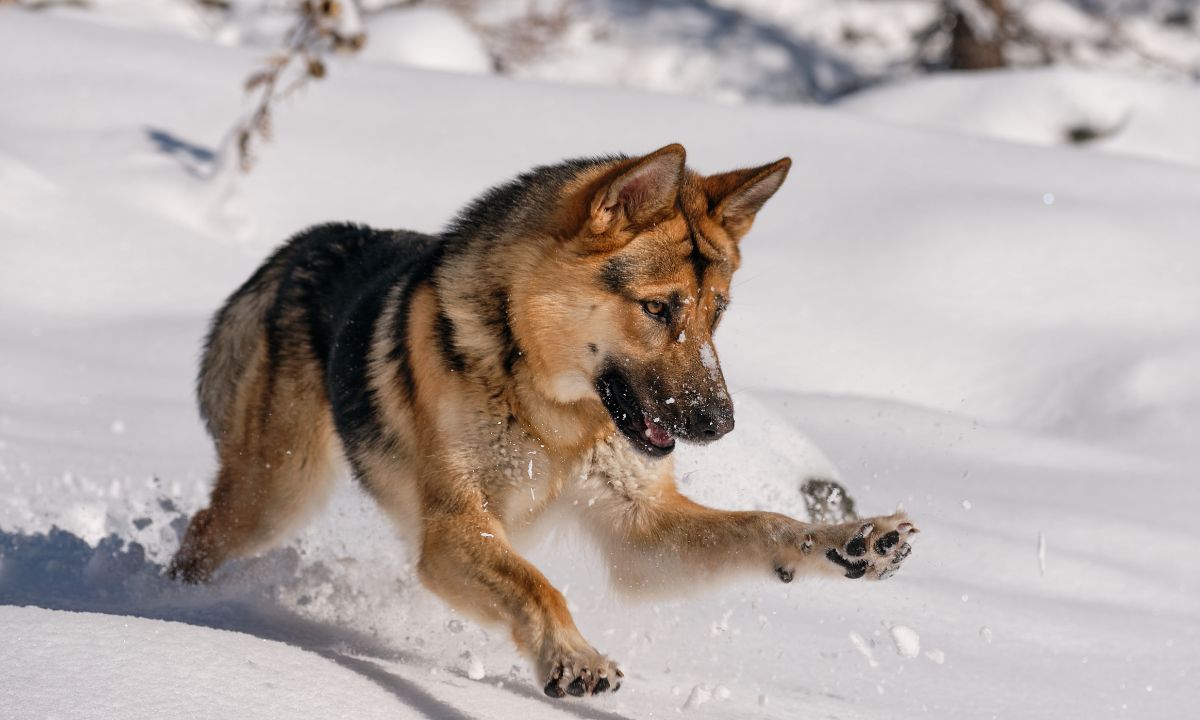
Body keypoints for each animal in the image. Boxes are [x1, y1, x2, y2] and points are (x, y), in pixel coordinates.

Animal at [169, 144, 916, 696]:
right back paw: (175, 610)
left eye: (718, 312)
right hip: (277, 497)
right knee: (200, 533)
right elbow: (538, 585)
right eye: (658, 308)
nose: (720, 423)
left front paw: (855, 539)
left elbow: (767, 525)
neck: (551, 409)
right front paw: (572, 657)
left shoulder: (639, 529)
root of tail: (306, 244)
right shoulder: (453, 530)